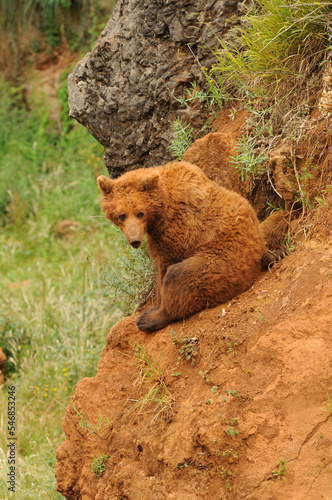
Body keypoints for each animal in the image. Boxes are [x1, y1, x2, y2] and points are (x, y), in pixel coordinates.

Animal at [96, 160, 286, 332]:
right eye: (121, 215)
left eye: (140, 213)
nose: (134, 240)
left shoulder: (177, 226)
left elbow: (166, 266)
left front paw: (156, 305)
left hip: (224, 263)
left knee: (182, 277)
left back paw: (148, 319)